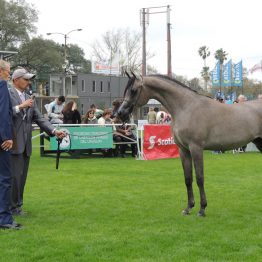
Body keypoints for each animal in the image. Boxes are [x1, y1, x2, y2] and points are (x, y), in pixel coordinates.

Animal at [118, 72, 262, 216]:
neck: (186, 107)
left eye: (133, 90)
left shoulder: (196, 148)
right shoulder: (184, 150)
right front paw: (188, 207)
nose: (120, 112)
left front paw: (202, 209)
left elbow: (199, 178)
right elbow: (188, 179)